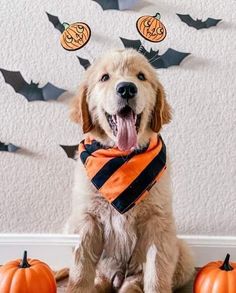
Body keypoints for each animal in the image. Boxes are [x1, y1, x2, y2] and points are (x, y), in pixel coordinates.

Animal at [65, 49, 194, 290]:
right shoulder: (87, 219)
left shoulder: (157, 221)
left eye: (141, 76)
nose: (127, 88)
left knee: (136, 280)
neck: (122, 157)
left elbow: (157, 271)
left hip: (182, 252)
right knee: (100, 276)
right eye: (104, 77)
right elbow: (81, 269)